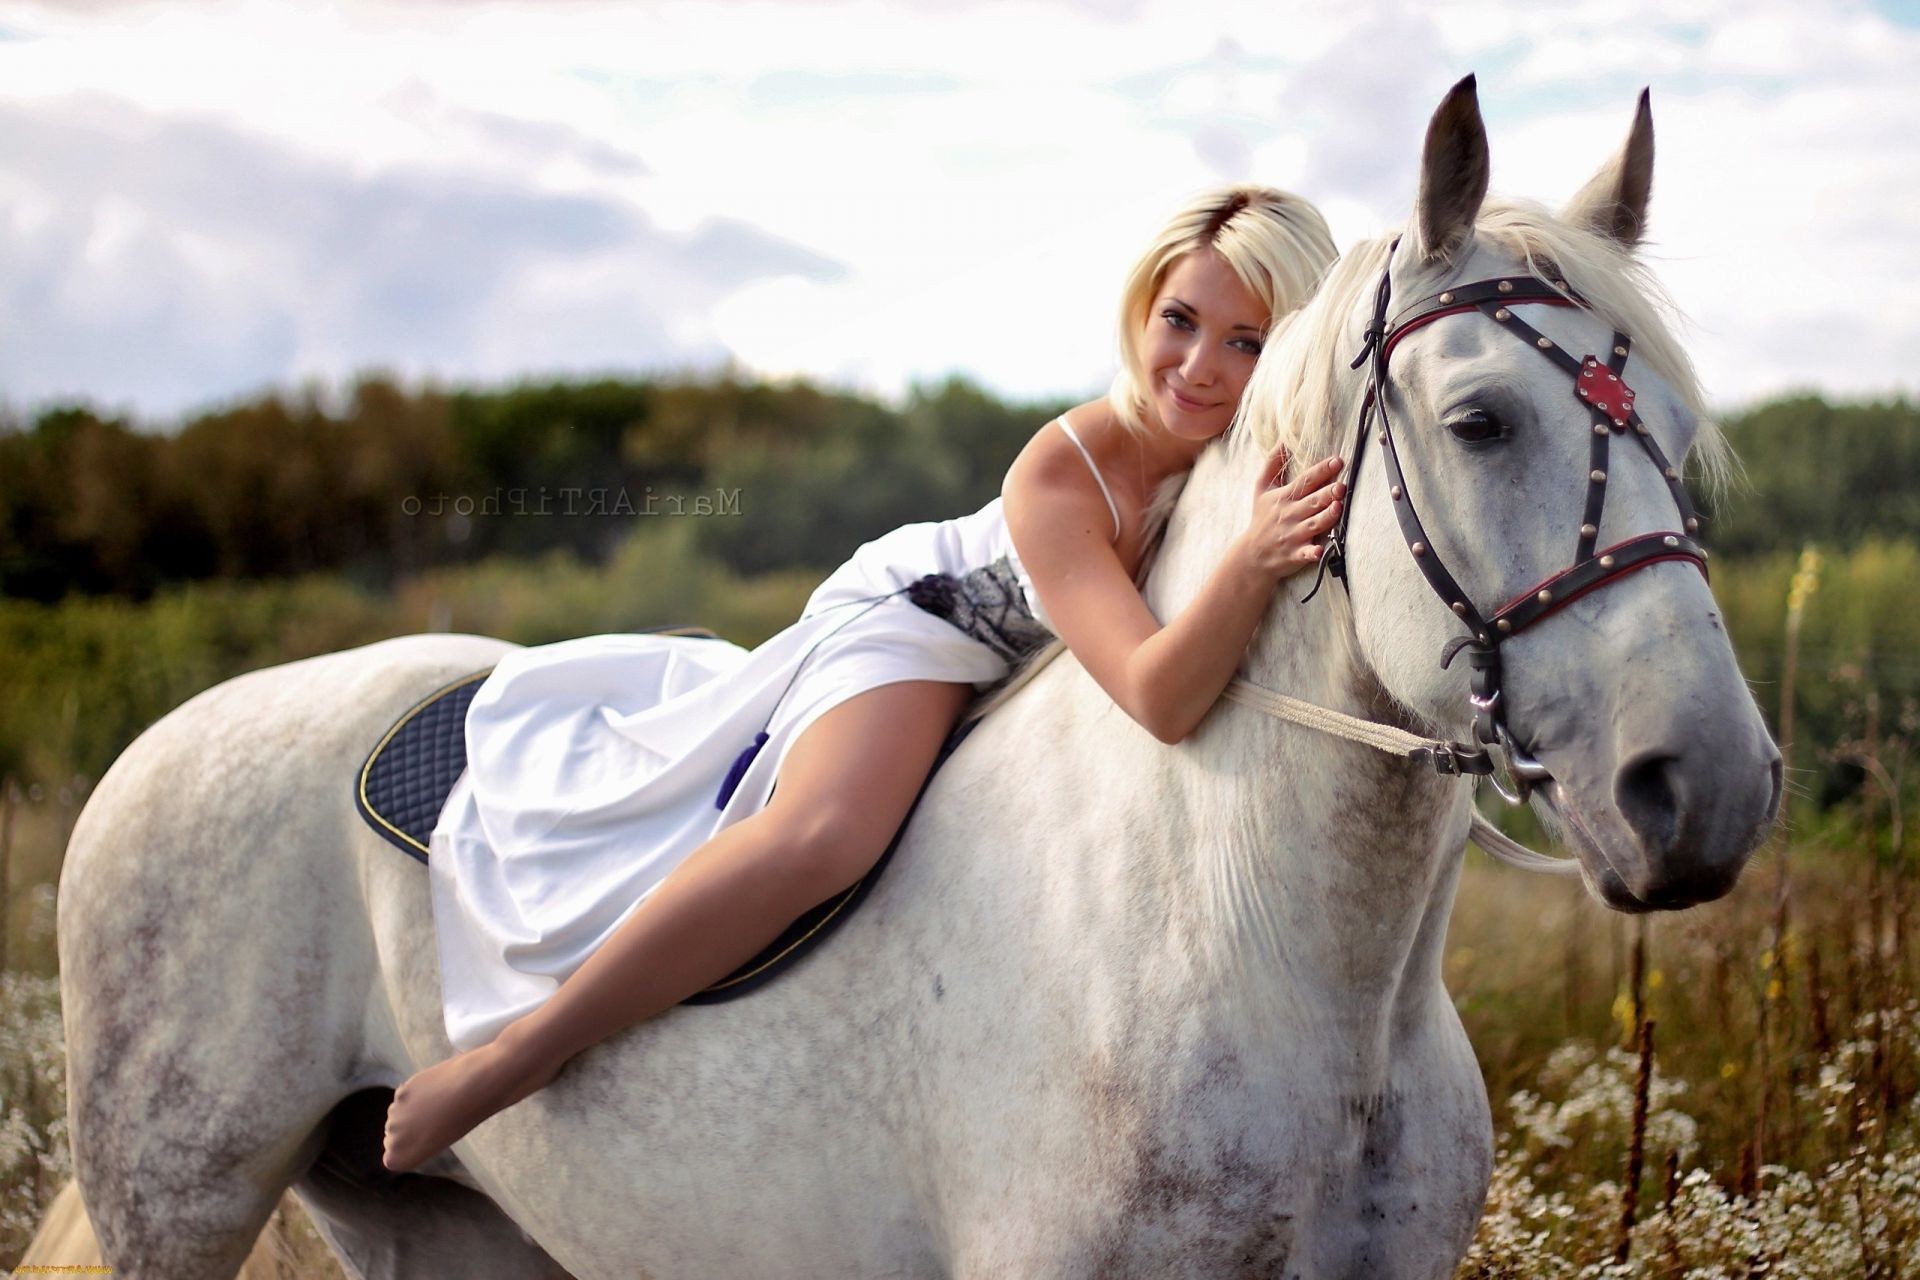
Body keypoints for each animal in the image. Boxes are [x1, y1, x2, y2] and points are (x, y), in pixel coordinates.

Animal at [56, 75, 1766, 1274]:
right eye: (1479, 420)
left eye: (1683, 439)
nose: (1707, 791)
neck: (1252, 942)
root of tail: (168, 739)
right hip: (175, 1196)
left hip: (434, 1224)